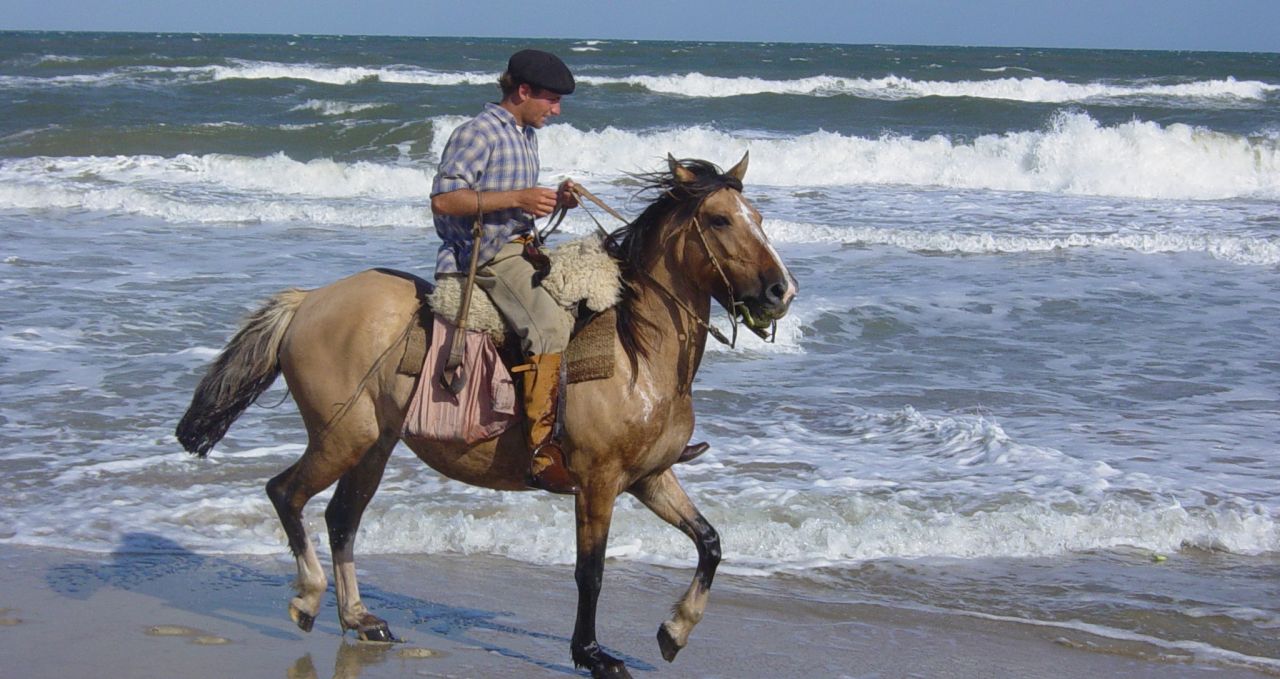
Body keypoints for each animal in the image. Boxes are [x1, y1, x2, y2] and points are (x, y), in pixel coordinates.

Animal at [177, 150, 798, 671]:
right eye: (720, 220)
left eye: (758, 215)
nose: (781, 290)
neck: (637, 350)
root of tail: (309, 301)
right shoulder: (598, 482)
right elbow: (591, 572)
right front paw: (593, 654)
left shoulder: (651, 477)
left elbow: (710, 542)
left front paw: (674, 631)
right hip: (341, 437)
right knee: (287, 493)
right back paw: (308, 599)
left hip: (374, 445)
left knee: (340, 520)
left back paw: (360, 619)